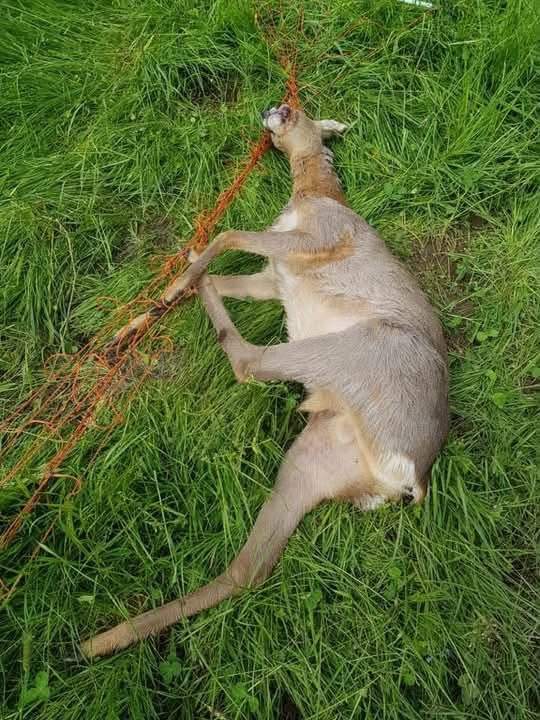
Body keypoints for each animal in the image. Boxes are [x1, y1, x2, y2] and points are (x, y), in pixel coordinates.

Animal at [81, 103, 448, 658]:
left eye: (304, 111)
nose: (274, 107)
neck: (318, 195)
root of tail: (411, 480)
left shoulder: (315, 239)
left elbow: (229, 235)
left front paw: (176, 280)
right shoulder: (273, 278)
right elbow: (230, 262)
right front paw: (146, 311)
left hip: (352, 351)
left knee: (249, 362)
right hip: (316, 457)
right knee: (248, 571)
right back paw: (97, 643)